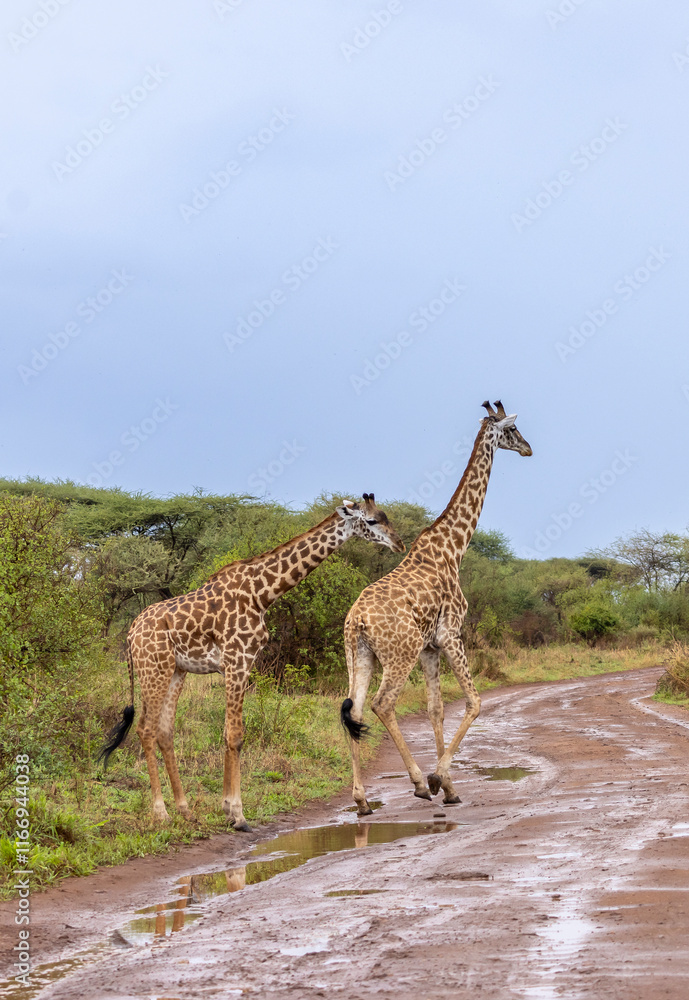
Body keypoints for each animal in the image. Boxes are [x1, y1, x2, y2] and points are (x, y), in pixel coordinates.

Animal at [100, 495, 405, 831]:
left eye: (385, 516)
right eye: (373, 520)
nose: (399, 543)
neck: (262, 593)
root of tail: (130, 633)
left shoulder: (234, 664)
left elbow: (226, 733)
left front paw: (225, 809)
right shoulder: (238, 659)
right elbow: (235, 734)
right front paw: (238, 815)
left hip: (176, 671)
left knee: (165, 730)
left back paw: (185, 810)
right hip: (154, 668)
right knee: (145, 728)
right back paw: (160, 813)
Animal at [341, 402, 532, 814]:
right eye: (512, 430)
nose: (528, 449)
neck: (453, 546)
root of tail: (357, 620)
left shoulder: (430, 647)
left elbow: (435, 709)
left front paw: (451, 789)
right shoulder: (450, 635)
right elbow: (474, 702)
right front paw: (437, 778)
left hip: (358, 655)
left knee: (354, 709)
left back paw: (362, 800)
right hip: (400, 652)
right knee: (383, 704)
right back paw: (416, 783)